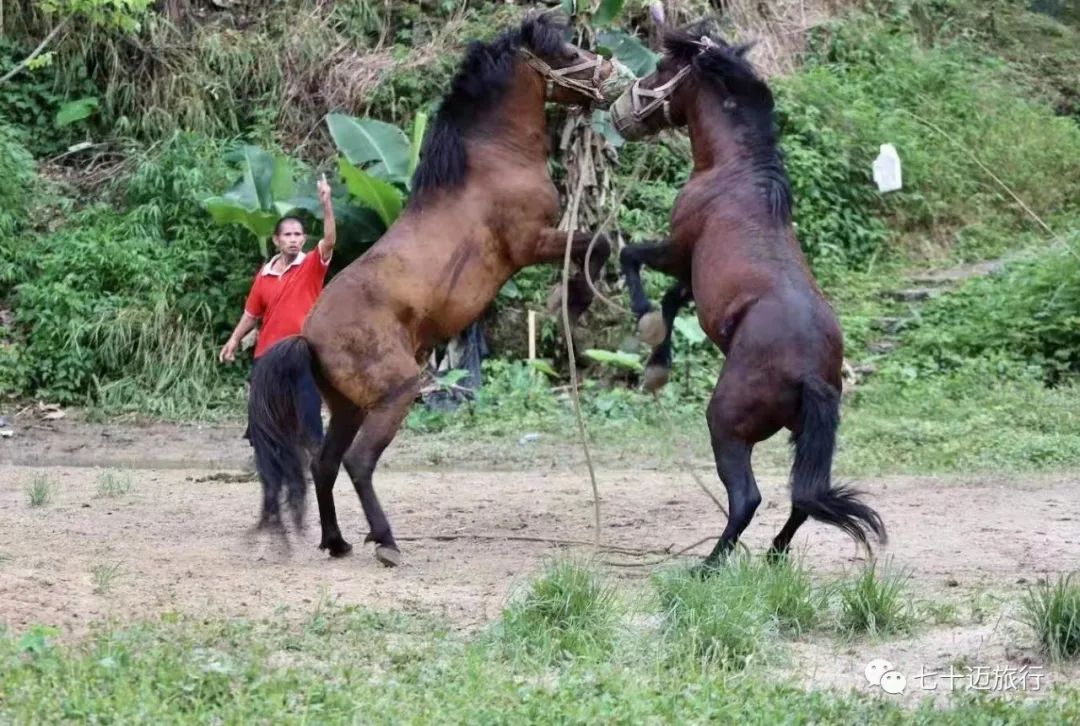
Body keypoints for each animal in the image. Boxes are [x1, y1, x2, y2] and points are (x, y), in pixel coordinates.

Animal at [245, 12, 630, 566]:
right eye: (564, 51)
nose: (610, 77)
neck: (493, 160)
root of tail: (308, 337)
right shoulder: (532, 242)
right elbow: (596, 246)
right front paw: (572, 303)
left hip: (349, 407)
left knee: (323, 464)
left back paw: (337, 542)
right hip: (397, 392)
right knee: (358, 462)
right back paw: (385, 542)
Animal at [613, 21, 881, 566]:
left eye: (661, 67)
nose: (621, 114)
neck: (734, 171)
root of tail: (809, 373)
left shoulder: (678, 249)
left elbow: (634, 260)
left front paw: (644, 322)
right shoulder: (693, 275)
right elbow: (673, 302)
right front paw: (657, 365)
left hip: (726, 425)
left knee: (747, 497)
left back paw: (708, 566)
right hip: (804, 437)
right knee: (803, 497)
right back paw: (774, 555)